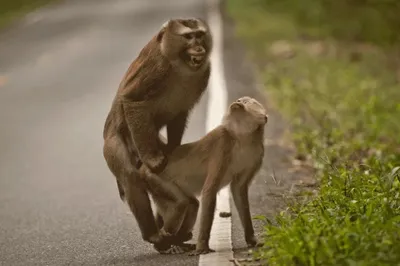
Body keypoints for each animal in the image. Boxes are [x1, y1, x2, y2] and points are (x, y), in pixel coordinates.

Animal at [103, 17, 214, 255]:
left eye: (200, 35)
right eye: (188, 37)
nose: (199, 48)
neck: (179, 64)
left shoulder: (204, 72)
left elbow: (180, 112)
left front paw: (173, 147)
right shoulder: (155, 69)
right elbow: (134, 100)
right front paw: (154, 161)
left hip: (150, 139)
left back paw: (173, 239)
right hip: (118, 143)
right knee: (130, 176)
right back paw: (153, 235)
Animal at [141, 96, 268, 256]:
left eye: (246, 102)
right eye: (240, 100)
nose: (237, 102)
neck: (241, 138)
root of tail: (144, 168)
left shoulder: (257, 154)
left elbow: (238, 190)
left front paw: (252, 239)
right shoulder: (222, 144)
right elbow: (209, 190)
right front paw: (202, 246)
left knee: (191, 204)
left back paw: (176, 241)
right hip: (155, 179)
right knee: (180, 204)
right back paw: (165, 241)